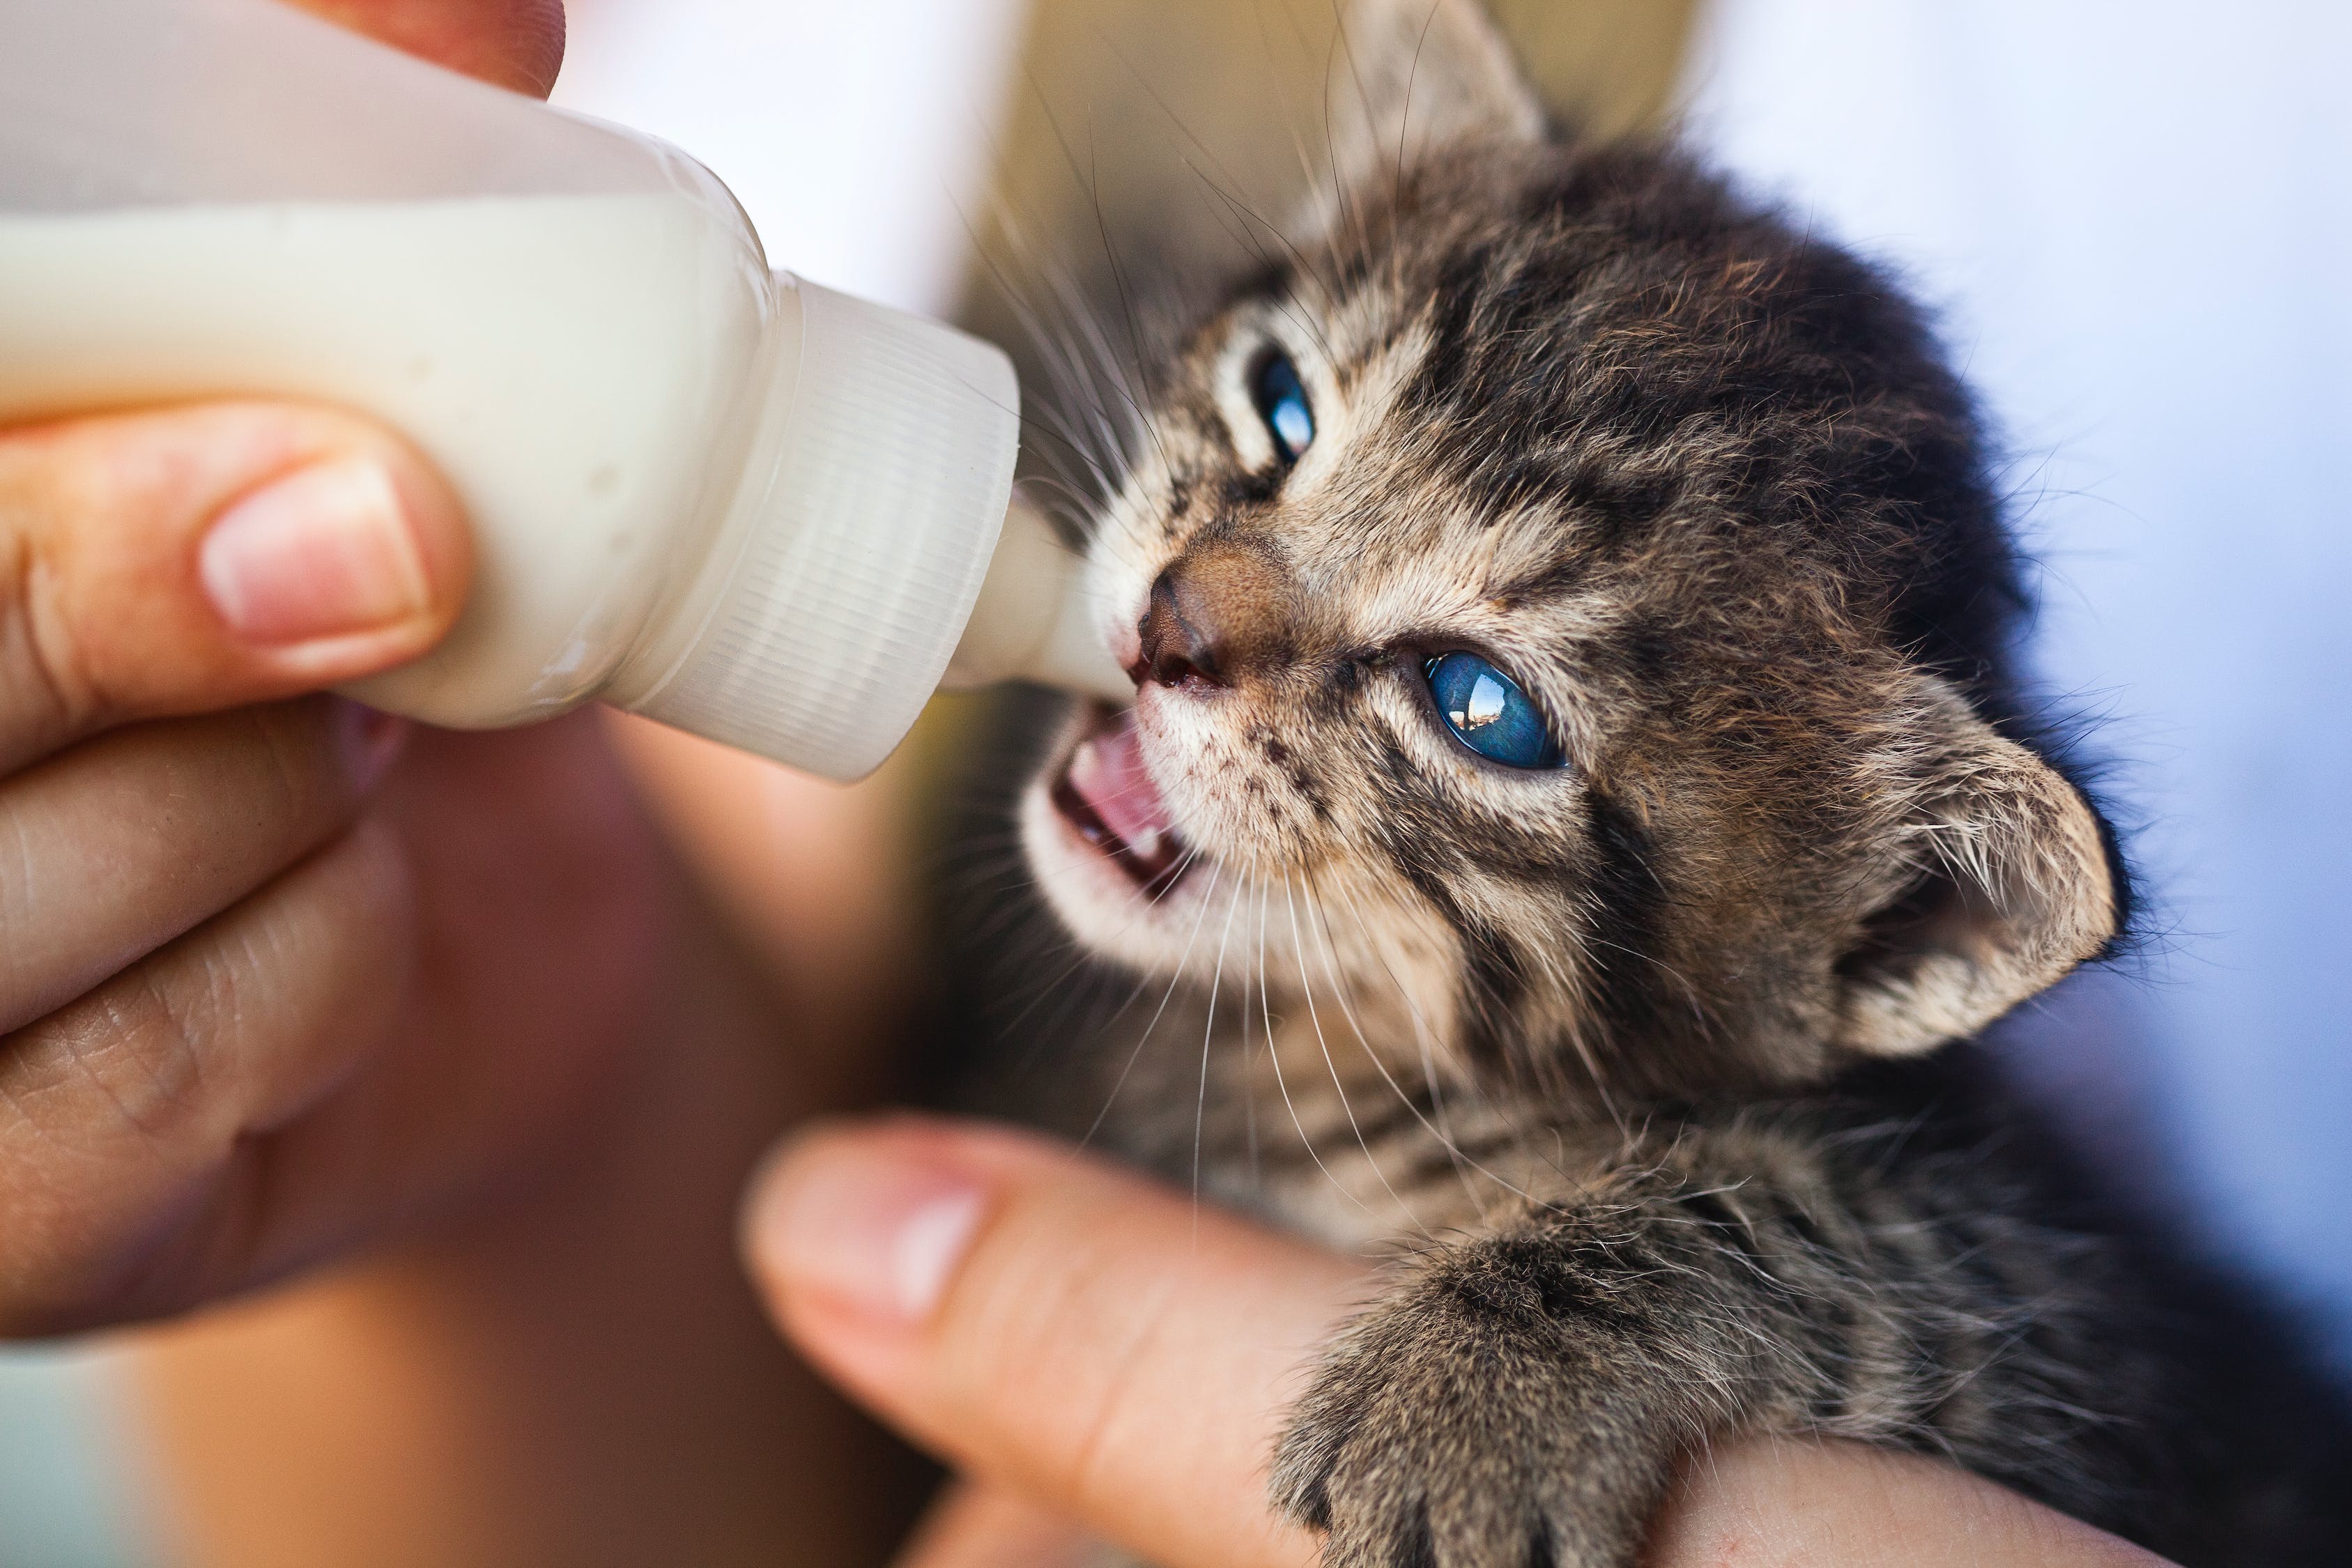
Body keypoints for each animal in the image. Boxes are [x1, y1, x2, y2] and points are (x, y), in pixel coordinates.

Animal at [936, 6, 2352, 1560]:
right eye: (1281, 405)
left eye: (1479, 707)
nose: (1167, 625)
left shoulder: (2090, 1357)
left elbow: (1852, 1227)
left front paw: (1475, 1387)